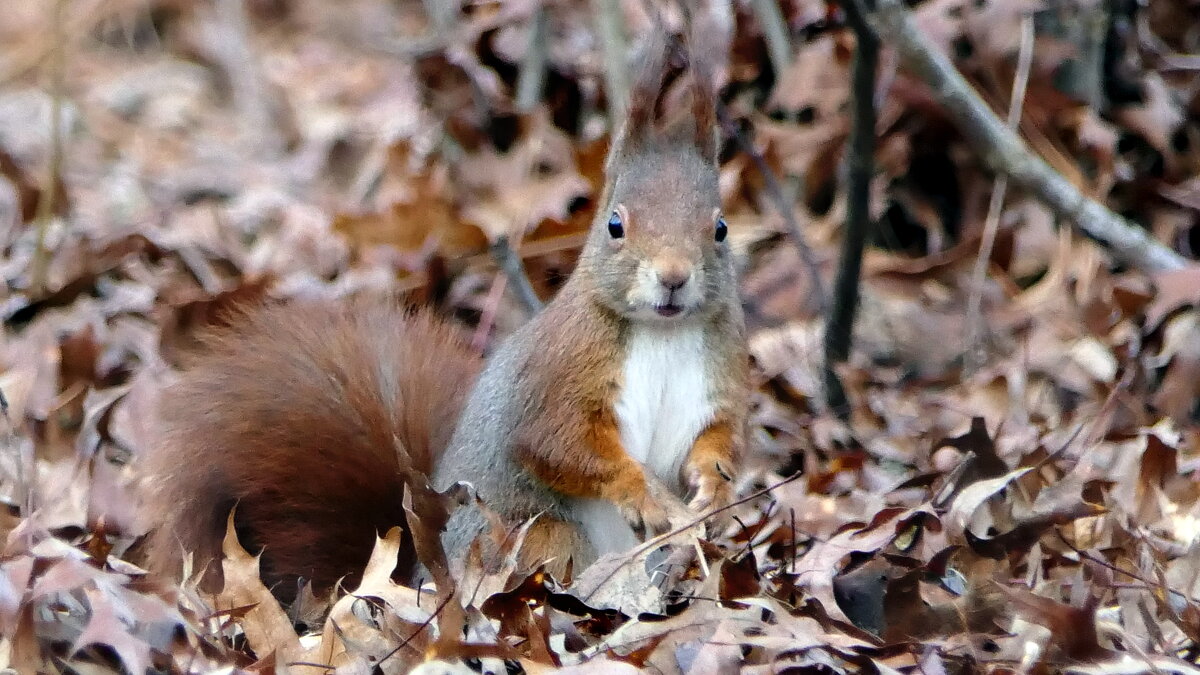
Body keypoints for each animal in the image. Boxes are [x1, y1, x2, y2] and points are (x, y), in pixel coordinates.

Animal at [136, 31, 744, 598]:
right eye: (615, 225)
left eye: (720, 228)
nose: (673, 277)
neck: (661, 332)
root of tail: (427, 574)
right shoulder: (556, 377)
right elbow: (557, 443)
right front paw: (641, 490)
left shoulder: (718, 380)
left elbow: (719, 436)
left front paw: (716, 486)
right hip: (536, 537)